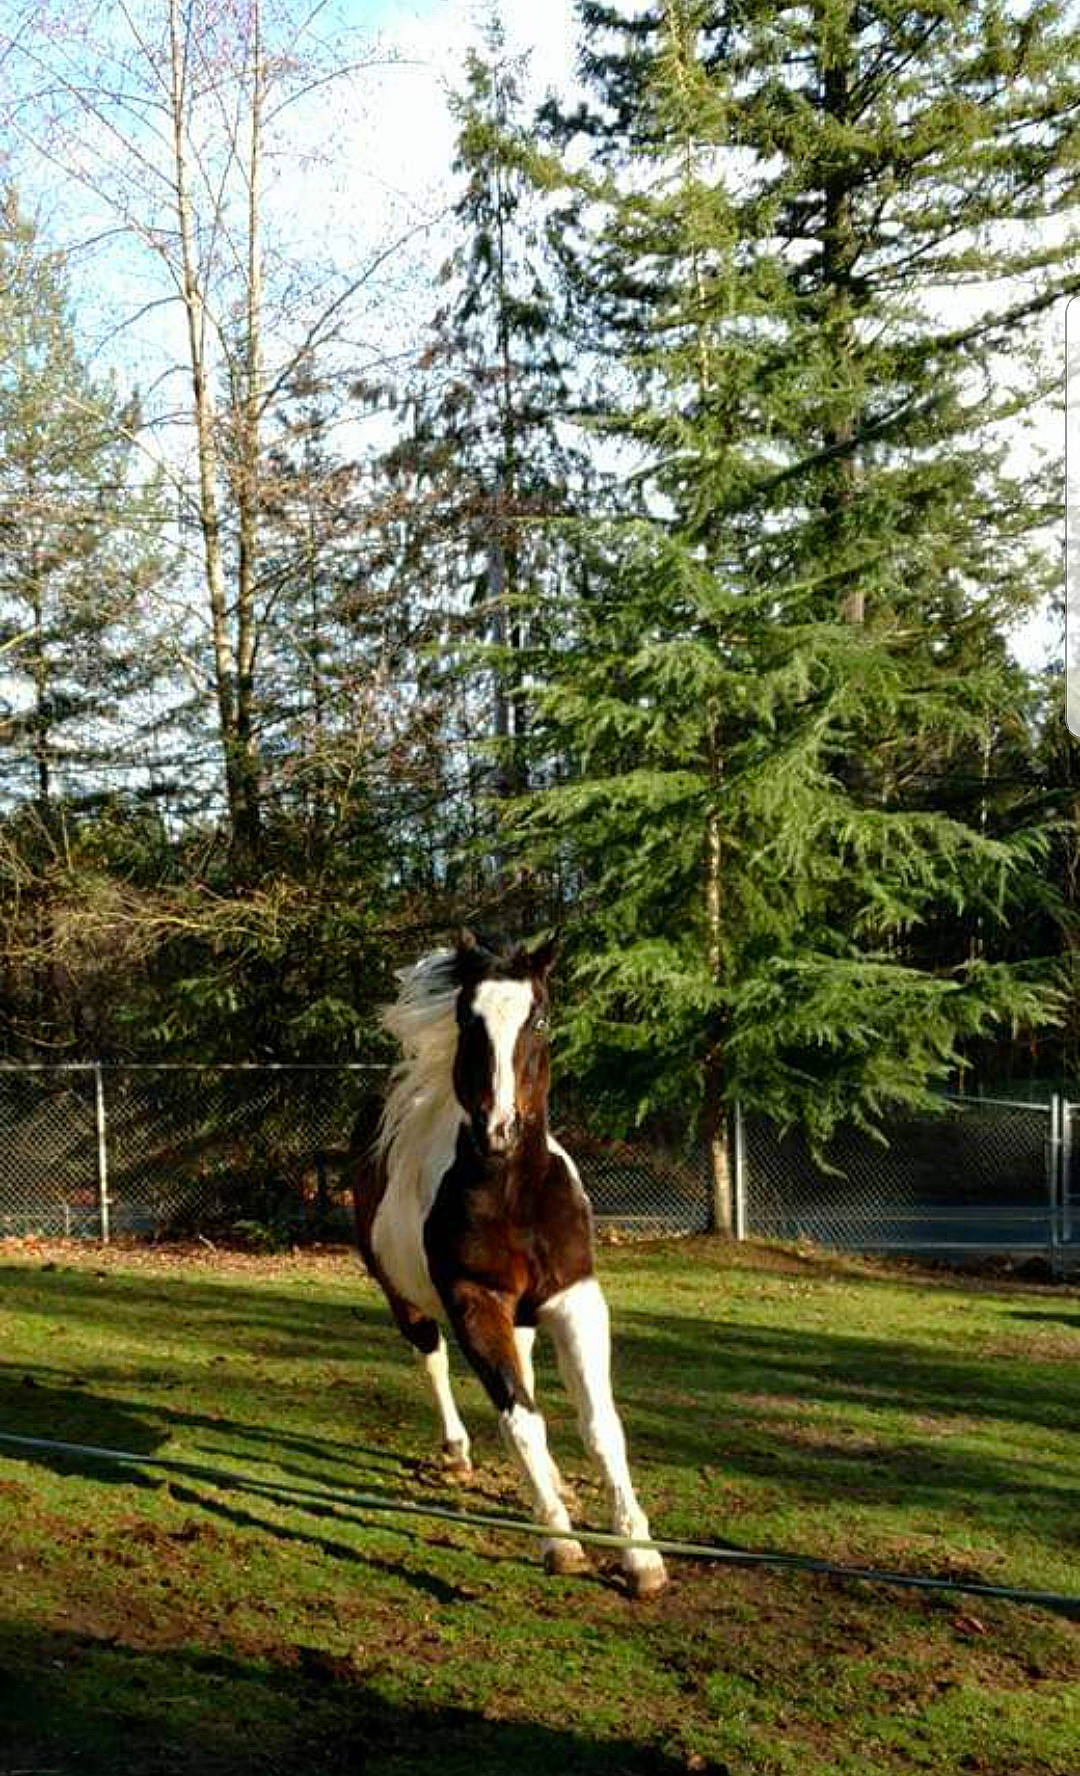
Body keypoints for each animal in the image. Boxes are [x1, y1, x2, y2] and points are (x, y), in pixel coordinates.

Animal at [353, 929, 667, 1599]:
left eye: (540, 1018)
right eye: (467, 1019)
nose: (499, 1129)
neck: (513, 1195)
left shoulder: (575, 1300)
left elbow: (600, 1424)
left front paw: (641, 1557)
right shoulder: (474, 1301)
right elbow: (519, 1418)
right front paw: (561, 1544)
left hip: (523, 1317)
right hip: (407, 1299)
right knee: (436, 1361)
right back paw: (459, 1452)